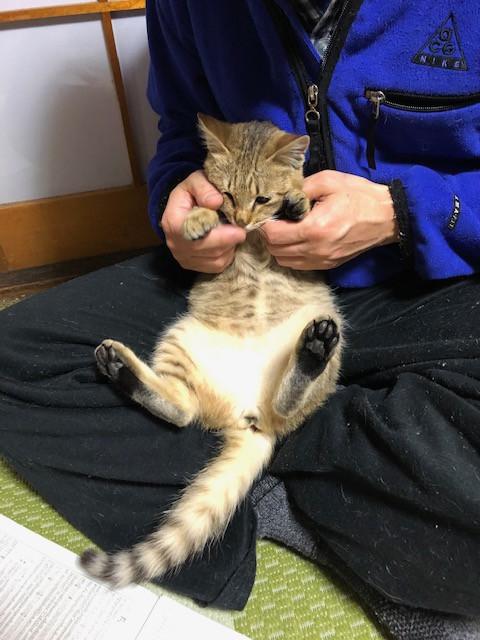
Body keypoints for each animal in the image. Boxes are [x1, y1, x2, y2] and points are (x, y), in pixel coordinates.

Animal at [80, 115, 342, 588]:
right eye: (226, 195)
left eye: (262, 198)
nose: (240, 218)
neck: (251, 239)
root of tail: (251, 418)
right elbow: (204, 212)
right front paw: (198, 220)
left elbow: (304, 200)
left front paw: (297, 201)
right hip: (181, 338)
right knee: (183, 409)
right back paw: (119, 366)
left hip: (328, 325)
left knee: (290, 399)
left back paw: (312, 351)